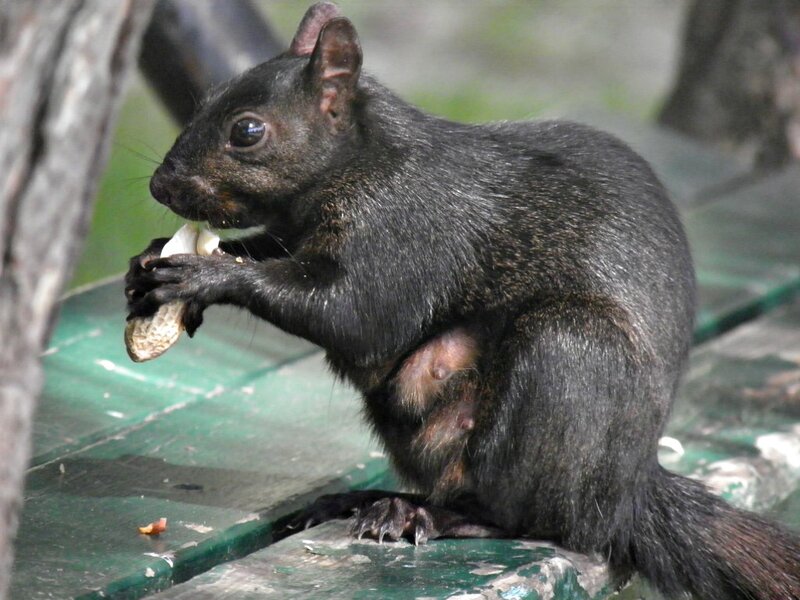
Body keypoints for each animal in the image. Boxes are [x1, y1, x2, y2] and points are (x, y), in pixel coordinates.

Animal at [125, 3, 800, 598]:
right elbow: (273, 255)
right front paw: (152, 260)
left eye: (247, 131)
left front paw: (202, 275)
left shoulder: (409, 230)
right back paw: (372, 500)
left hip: (569, 355)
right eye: (207, 98)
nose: (159, 185)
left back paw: (430, 518)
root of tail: (627, 490)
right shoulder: (298, 231)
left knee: (537, 519)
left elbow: (354, 316)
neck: (362, 162)